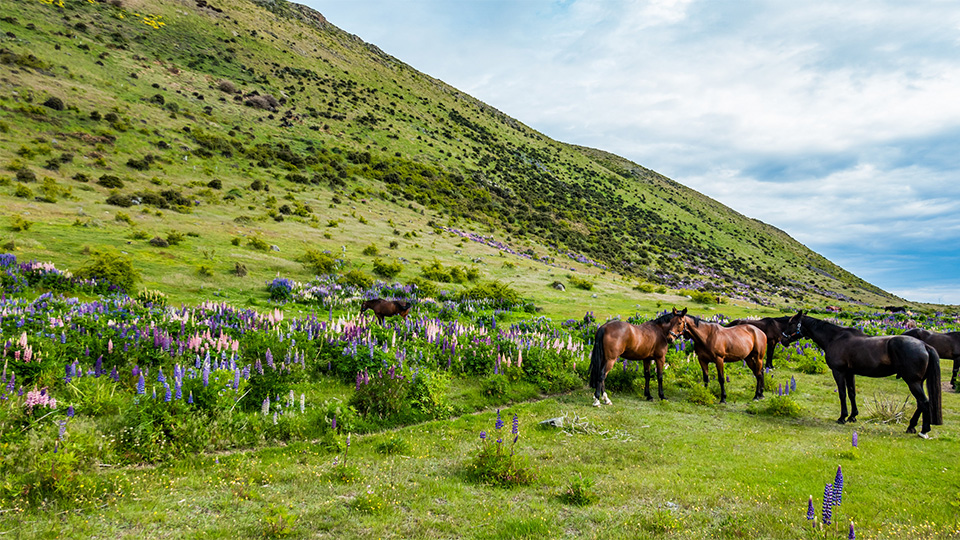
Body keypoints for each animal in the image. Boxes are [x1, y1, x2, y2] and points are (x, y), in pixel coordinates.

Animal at [784, 310, 940, 436]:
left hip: (913, 382)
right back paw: (911, 427)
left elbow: (842, 394)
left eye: (791, 323)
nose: (783, 339)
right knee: (920, 403)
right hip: (917, 382)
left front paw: (842, 417)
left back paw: (924, 430)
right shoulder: (849, 373)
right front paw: (853, 416)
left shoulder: (839, 372)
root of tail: (924, 345)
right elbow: (852, 393)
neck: (834, 338)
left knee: (924, 402)